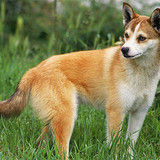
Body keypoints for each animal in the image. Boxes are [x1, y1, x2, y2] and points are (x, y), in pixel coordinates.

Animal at [0, 2, 160, 159]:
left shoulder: (139, 113)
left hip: (53, 122)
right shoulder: (116, 111)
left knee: (40, 144)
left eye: (141, 38)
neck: (141, 72)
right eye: (126, 35)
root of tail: (35, 69)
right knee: (61, 151)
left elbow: (130, 145)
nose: (124, 50)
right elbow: (115, 146)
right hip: (66, 118)